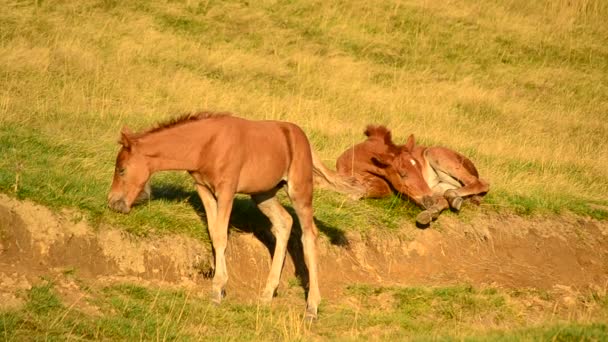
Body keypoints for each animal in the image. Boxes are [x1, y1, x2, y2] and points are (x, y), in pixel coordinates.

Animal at [107, 112, 358, 318]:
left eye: (121, 169)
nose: (113, 203)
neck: (206, 145)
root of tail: (304, 140)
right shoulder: (203, 188)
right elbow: (214, 233)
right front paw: (220, 287)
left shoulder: (226, 190)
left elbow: (221, 235)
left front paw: (217, 289)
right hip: (263, 194)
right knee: (284, 223)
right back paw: (268, 293)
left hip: (299, 190)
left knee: (308, 235)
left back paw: (312, 307)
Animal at [338, 125, 490, 224]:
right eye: (402, 174)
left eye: (419, 169)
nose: (429, 200)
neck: (352, 163)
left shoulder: (386, 189)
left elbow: (365, 189)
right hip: (438, 187)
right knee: (444, 200)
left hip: (436, 156)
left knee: (480, 183)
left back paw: (449, 198)